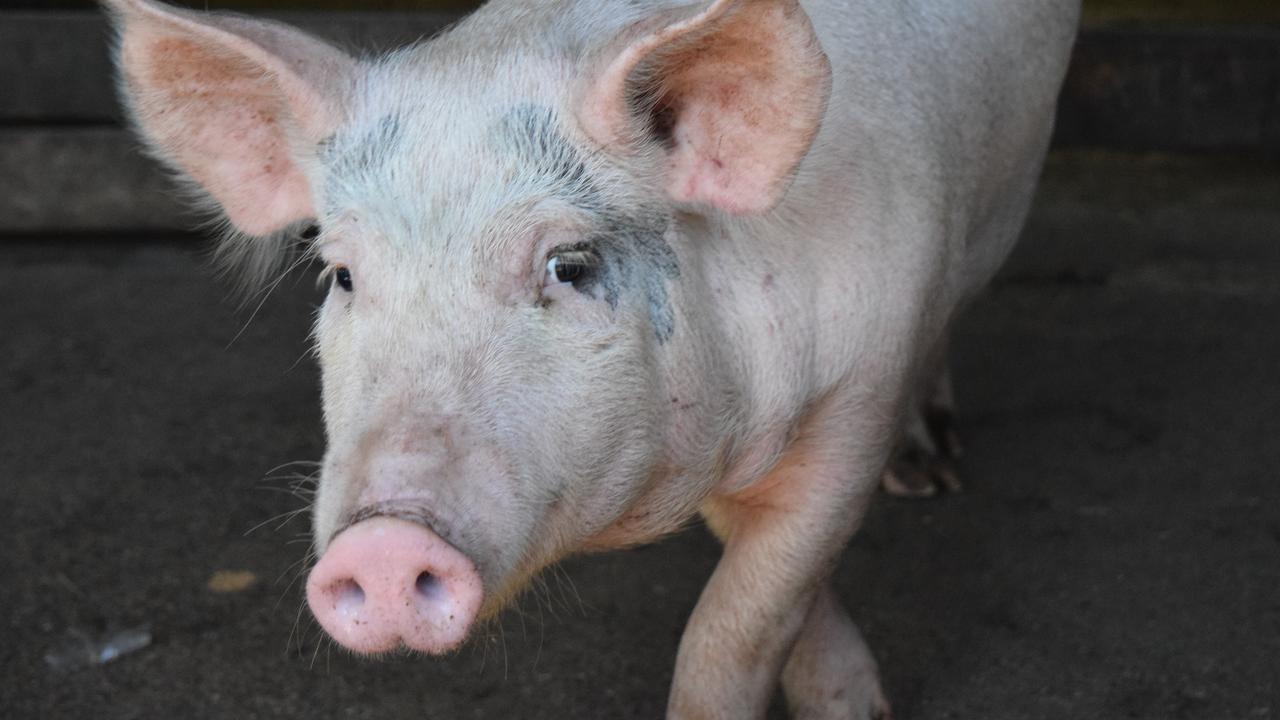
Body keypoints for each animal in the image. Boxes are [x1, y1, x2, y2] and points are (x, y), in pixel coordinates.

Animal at [104, 0, 1075, 712]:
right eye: (340, 275)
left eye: (569, 266)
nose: (380, 543)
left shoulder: (856, 403)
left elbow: (734, 628)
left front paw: (856, 711)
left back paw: (930, 473)